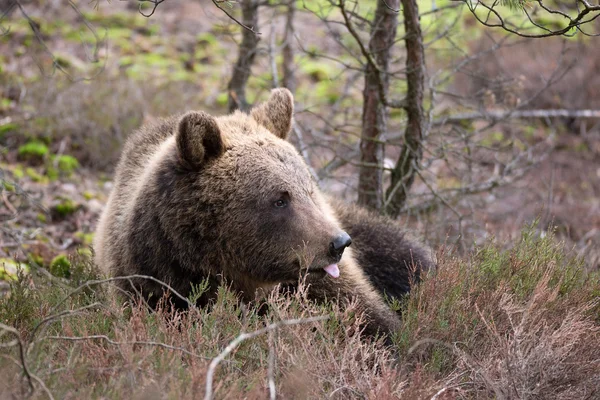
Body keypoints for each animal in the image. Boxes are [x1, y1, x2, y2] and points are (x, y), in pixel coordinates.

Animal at [94, 89, 432, 340]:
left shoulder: (325, 287)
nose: (338, 243)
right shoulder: (157, 282)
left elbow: (369, 318)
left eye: (308, 188)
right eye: (280, 199)